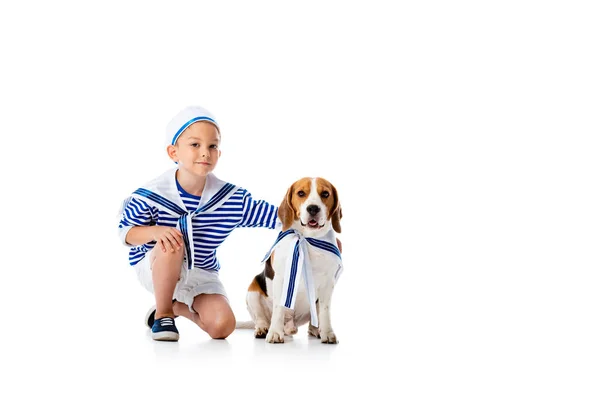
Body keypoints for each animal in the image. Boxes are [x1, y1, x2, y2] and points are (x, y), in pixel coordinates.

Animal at [240, 178, 342, 344]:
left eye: (325, 194)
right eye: (301, 193)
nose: (313, 208)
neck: (307, 239)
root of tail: (290, 325)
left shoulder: (328, 283)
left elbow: (325, 312)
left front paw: (327, 333)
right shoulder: (281, 279)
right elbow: (278, 308)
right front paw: (275, 333)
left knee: (314, 320)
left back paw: (316, 330)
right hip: (252, 291)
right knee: (261, 318)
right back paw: (263, 329)